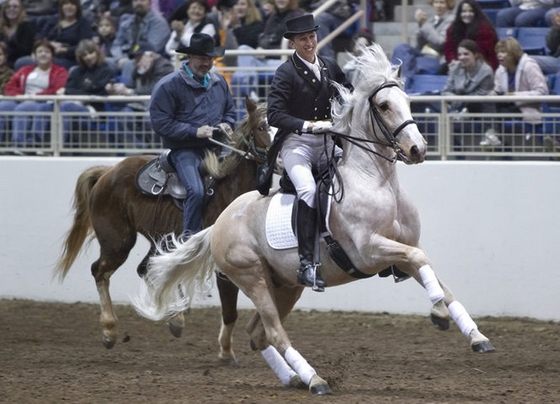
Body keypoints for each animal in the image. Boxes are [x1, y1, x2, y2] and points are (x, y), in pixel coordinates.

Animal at [54, 97, 272, 348]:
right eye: (261, 127)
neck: (230, 190)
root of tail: (107, 172)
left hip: (158, 240)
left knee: (148, 269)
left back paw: (173, 316)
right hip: (117, 242)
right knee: (100, 271)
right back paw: (111, 330)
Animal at [133, 44, 492, 394]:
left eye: (408, 101)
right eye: (385, 105)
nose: (418, 149)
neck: (378, 182)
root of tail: (219, 223)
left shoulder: (403, 247)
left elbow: (437, 278)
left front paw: (474, 335)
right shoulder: (371, 250)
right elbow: (421, 261)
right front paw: (438, 313)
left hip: (286, 286)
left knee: (258, 334)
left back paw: (294, 379)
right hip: (252, 278)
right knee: (273, 332)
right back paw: (314, 380)